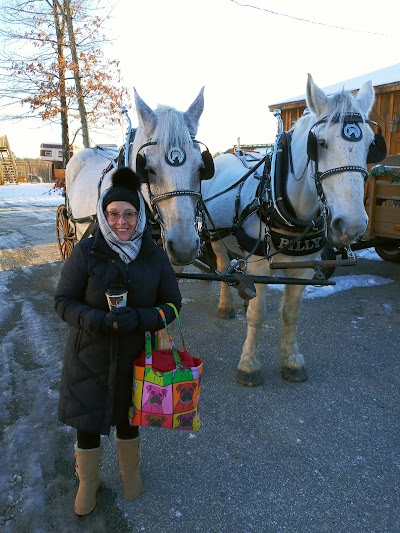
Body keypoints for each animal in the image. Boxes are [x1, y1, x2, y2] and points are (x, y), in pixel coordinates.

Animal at [202, 72, 386, 384]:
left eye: (371, 144)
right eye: (320, 143)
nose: (351, 224)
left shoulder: (303, 266)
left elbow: (290, 314)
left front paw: (291, 361)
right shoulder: (261, 265)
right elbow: (258, 315)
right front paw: (249, 365)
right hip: (216, 236)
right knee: (222, 264)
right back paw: (227, 305)